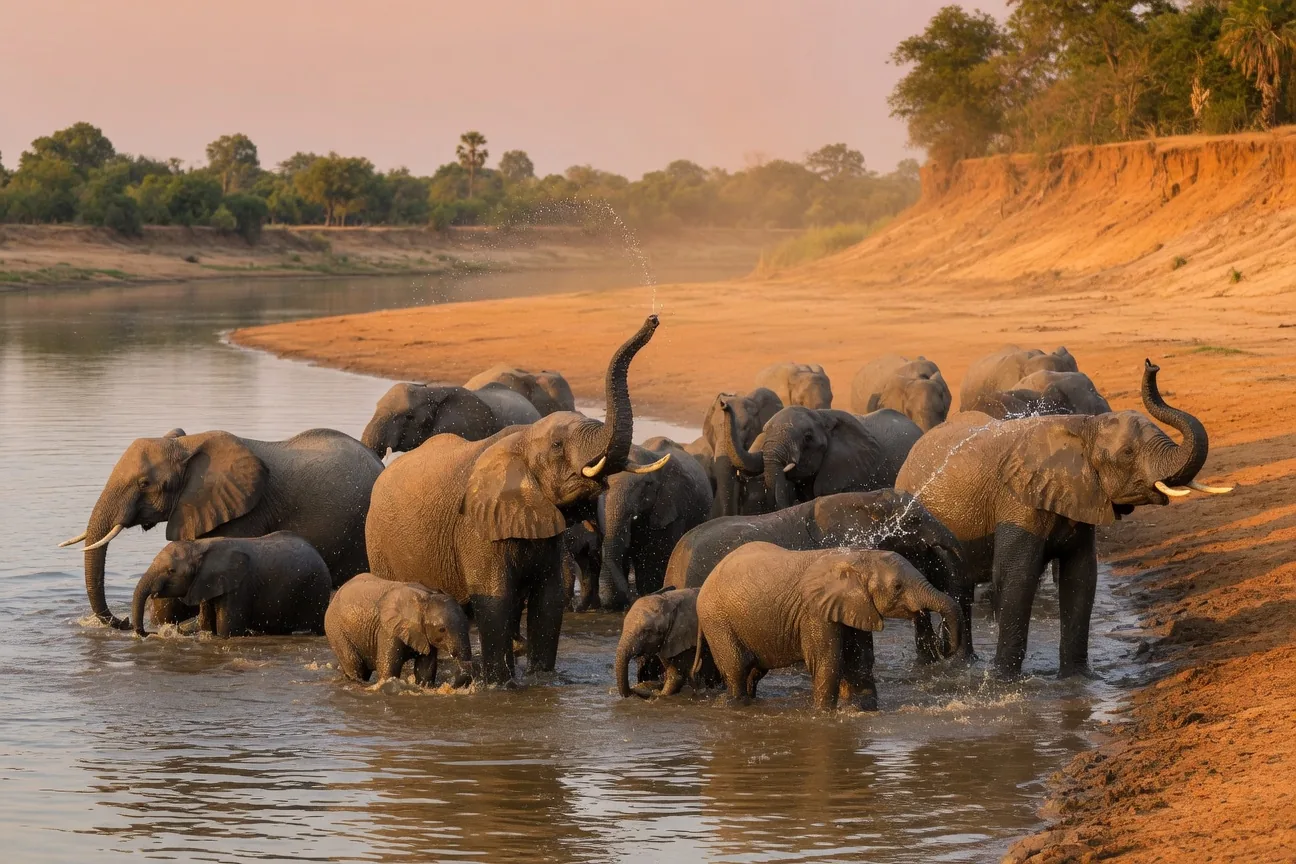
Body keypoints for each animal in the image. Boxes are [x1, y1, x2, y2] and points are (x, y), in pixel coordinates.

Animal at [131, 532, 331, 637]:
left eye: (171, 571)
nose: (149, 633)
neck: (199, 546)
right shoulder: (205, 584)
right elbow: (207, 625)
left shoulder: (238, 588)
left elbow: (227, 630)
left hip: (315, 589)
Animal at [325, 573, 473, 687]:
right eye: (442, 630)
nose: (452, 685)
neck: (426, 597)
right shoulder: (388, 630)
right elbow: (389, 670)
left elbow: (425, 669)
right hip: (336, 631)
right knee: (355, 667)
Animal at [597, 438, 714, 606]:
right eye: (604, 483)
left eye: (647, 484)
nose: (626, 596)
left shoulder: (673, 504)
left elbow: (657, 554)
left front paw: (649, 592)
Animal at [693, 543, 962, 710]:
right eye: (897, 587)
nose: (945, 647)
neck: (857, 557)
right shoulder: (814, 610)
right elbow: (828, 660)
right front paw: (824, 714)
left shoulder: (854, 606)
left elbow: (861, 659)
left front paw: (864, 709)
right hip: (716, 620)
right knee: (737, 668)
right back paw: (736, 705)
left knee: (754, 671)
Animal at [896, 360, 1232, 679]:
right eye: (1127, 453)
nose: (1152, 365)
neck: (1083, 427)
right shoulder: (1018, 501)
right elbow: (1017, 576)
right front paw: (1004, 681)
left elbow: (1081, 576)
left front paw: (1077, 680)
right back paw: (942, 666)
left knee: (960, 587)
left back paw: (962, 664)